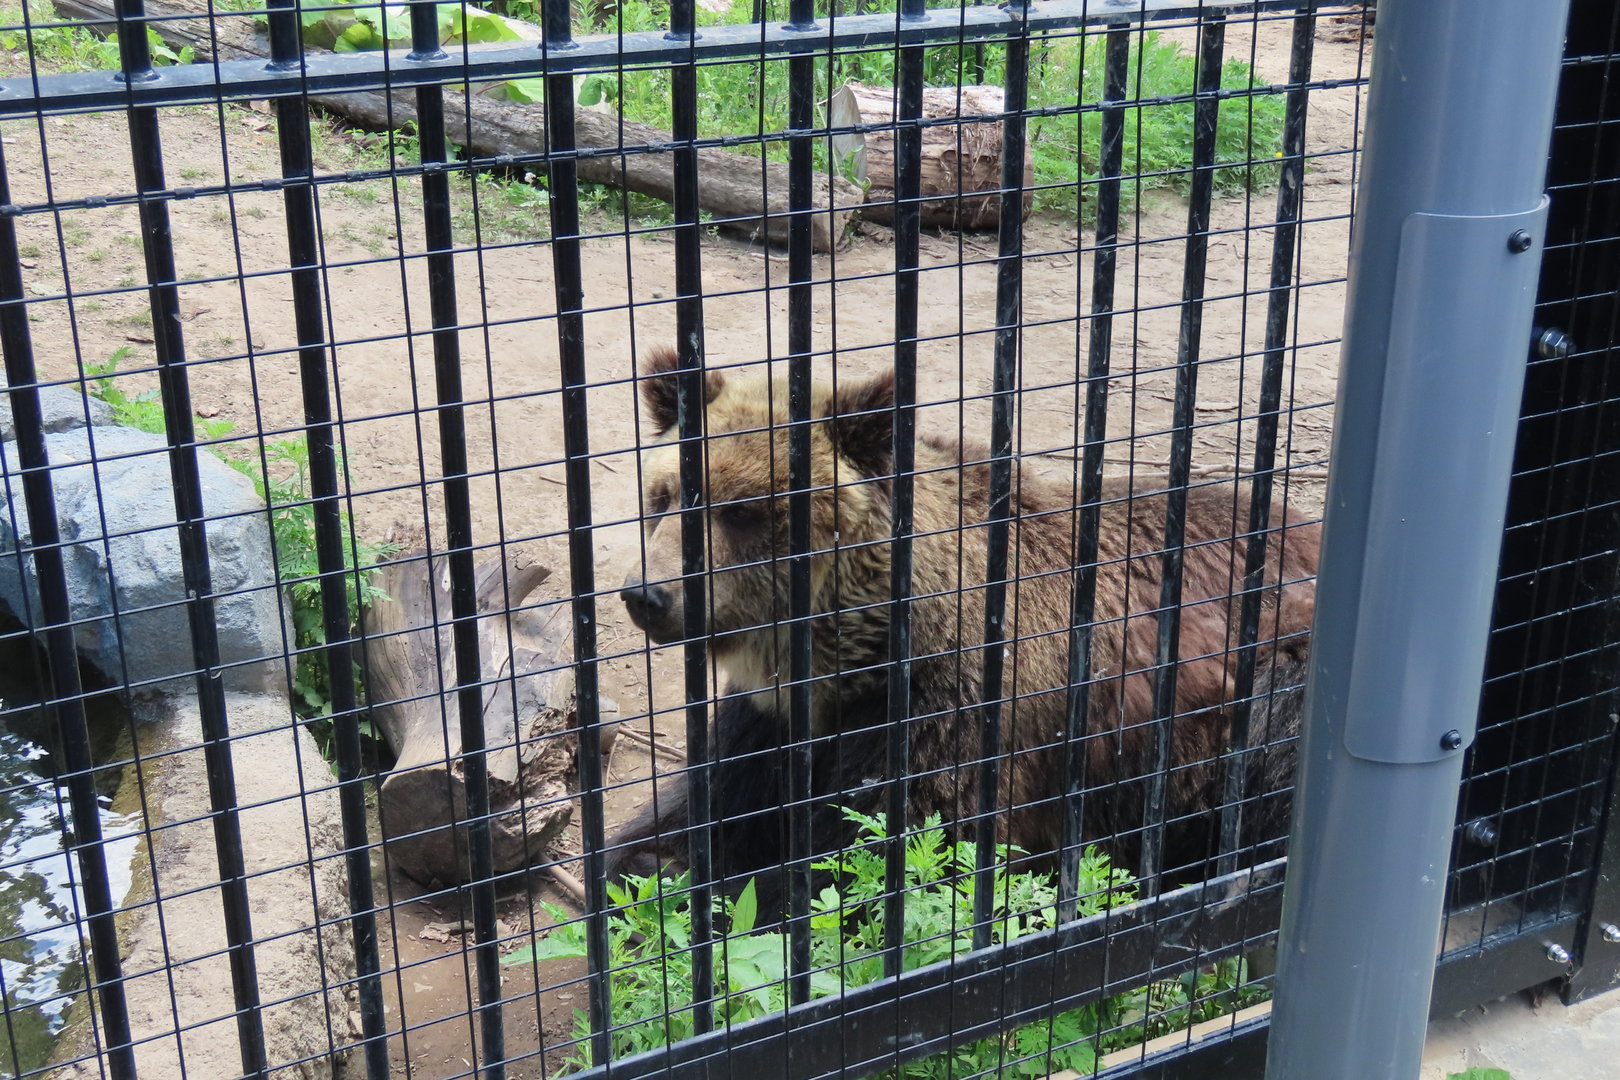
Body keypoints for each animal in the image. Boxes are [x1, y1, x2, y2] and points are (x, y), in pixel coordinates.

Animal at [608, 346, 1320, 915]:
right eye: (666, 495)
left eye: (743, 511)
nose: (648, 594)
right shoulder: (773, 724)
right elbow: (699, 816)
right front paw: (651, 867)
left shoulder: (962, 714)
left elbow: (876, 868)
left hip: (1261, 671)